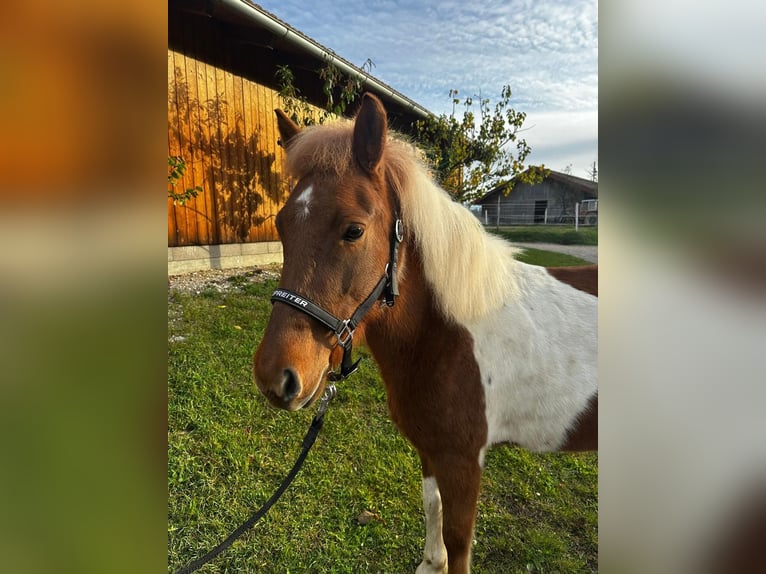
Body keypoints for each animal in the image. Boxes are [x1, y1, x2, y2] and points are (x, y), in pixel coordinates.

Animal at [253, 93, 597, 574]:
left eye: (354, 230)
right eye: (282, 224)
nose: (276, 377)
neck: (451, 339)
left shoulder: (464, 462)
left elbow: (459, 541)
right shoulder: (429, 451)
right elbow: (430, 505)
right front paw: (430, 563)